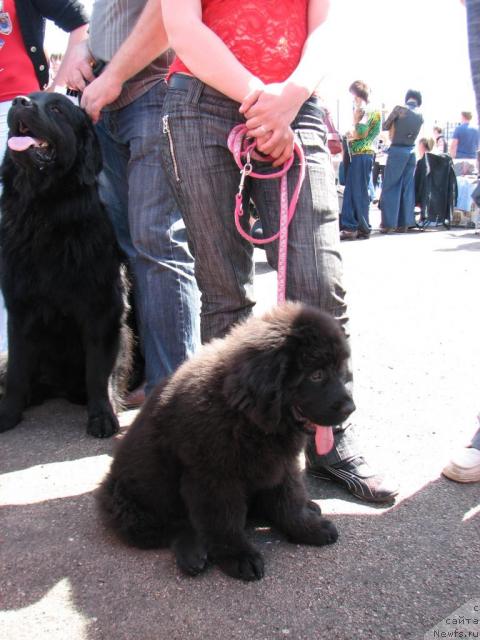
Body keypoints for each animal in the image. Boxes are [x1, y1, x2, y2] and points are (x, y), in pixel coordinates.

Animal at [0, 92, 129, 438]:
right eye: (31, 99)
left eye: (57, 108)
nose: (19, 101)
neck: (44, 211)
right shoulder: (19, 307)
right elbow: (16, 368)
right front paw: (9, 413)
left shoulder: (101, 308)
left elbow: (98, 369)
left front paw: (102, 416)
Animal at [97, 304, 354, 580]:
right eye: (316, 375)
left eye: (340, 371)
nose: (351, 408)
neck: (246, 413)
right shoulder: (214, 477)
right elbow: (224, 520)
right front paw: (239, 556)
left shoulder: (281, 465)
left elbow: (290, 501)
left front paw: (309, 529)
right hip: (131, 507)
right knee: (174, 527)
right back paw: (193, 554)